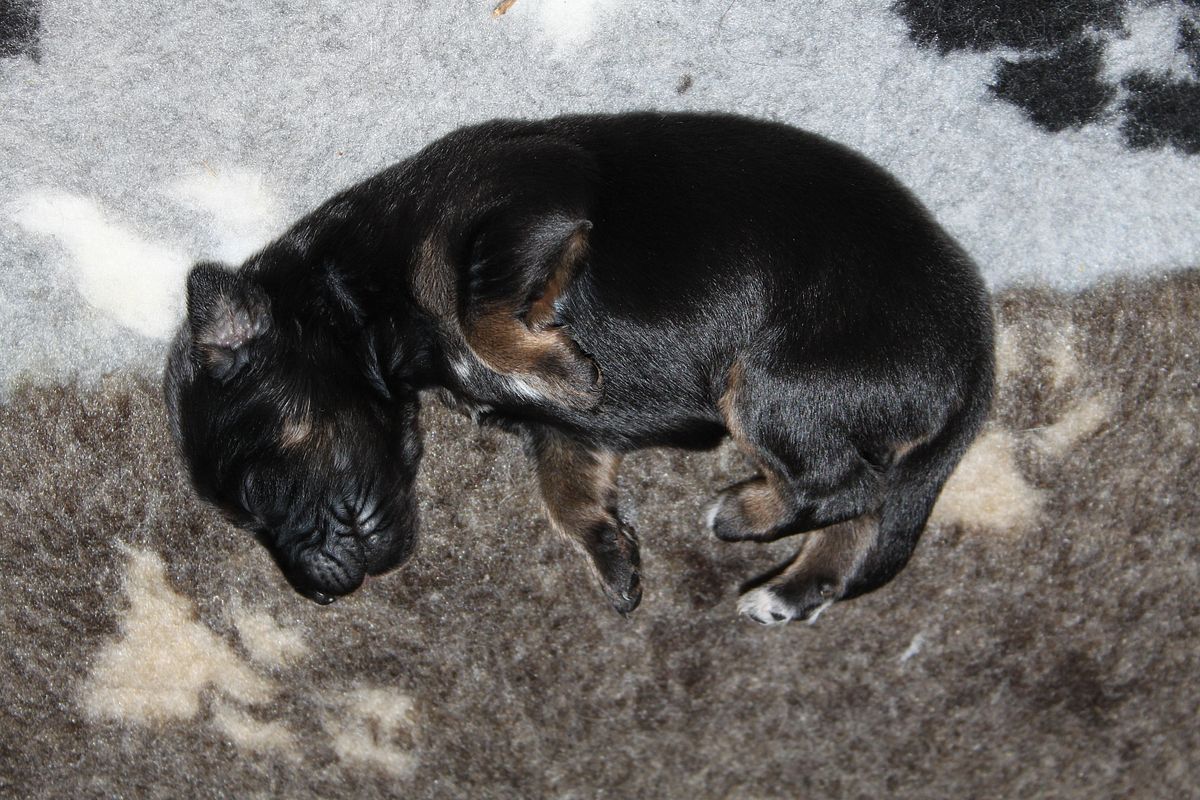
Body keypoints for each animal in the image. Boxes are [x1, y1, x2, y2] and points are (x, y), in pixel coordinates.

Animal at [164, 111, 994, 624]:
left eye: (258, 491)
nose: (315, 595)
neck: (365, 300)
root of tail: (978, 358)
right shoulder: (565, 437)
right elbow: (564, 493)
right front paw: (609, 550)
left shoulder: (521, 198)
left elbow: (477, 306)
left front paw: (562, 370)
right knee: (865, 510)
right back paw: (789, 590)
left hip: (775, 382)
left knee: (843, 483)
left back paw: (741, 512)